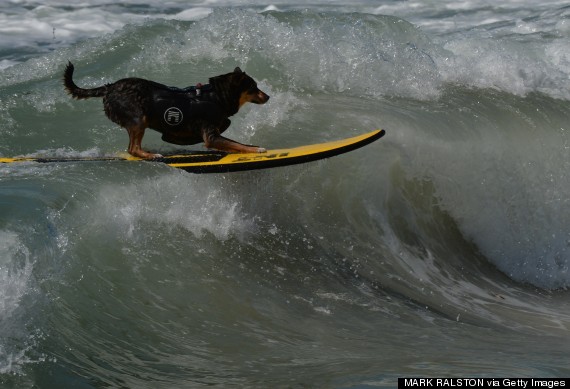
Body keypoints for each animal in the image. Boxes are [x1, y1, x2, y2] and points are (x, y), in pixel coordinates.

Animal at [63, 62, 268, 158]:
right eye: (254, 87)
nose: (268, 97)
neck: (216, 96)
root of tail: (110, 87)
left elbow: (237, 144)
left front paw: (253, 147)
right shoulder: (212, 137)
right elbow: (238, 144)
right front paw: (256, 150)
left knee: (131, 148)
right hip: (139, 119)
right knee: (133, 149)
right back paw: (150, 155)